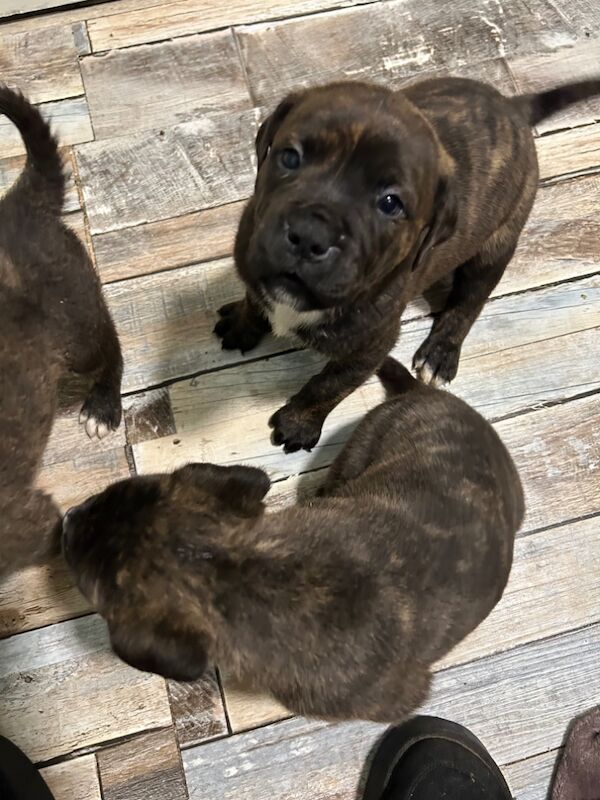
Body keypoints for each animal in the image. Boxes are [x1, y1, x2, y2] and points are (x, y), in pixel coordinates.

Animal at [0, 86, 123, 576]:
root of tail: (19, 205)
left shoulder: (18, 519)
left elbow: (50, 532)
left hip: (77, 325)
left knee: (111, 348)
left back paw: (103, 408)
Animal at [214, 75, 600, 454]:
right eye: (291, 158)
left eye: (390, 203)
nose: (311, 235)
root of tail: (512, 106)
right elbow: (254, 299)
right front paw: (241, 324)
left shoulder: (371, 346)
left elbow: (330, 384)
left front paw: (298, 424)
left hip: (496, 243)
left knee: (471, 298)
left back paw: (440, 354)